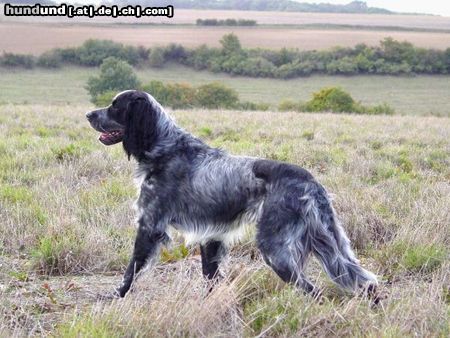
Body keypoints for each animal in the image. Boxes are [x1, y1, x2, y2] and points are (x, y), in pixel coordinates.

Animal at [86, 89, 378, 298]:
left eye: (115, 106)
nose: (89, 114)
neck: (165, 148)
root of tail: (310, 181)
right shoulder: (211, 236)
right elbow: (210, 276)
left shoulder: (150, 224)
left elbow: (132, 269)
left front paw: (116, 296)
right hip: (331, 242)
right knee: (365, 281)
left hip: (276, 248)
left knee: (312, 290)